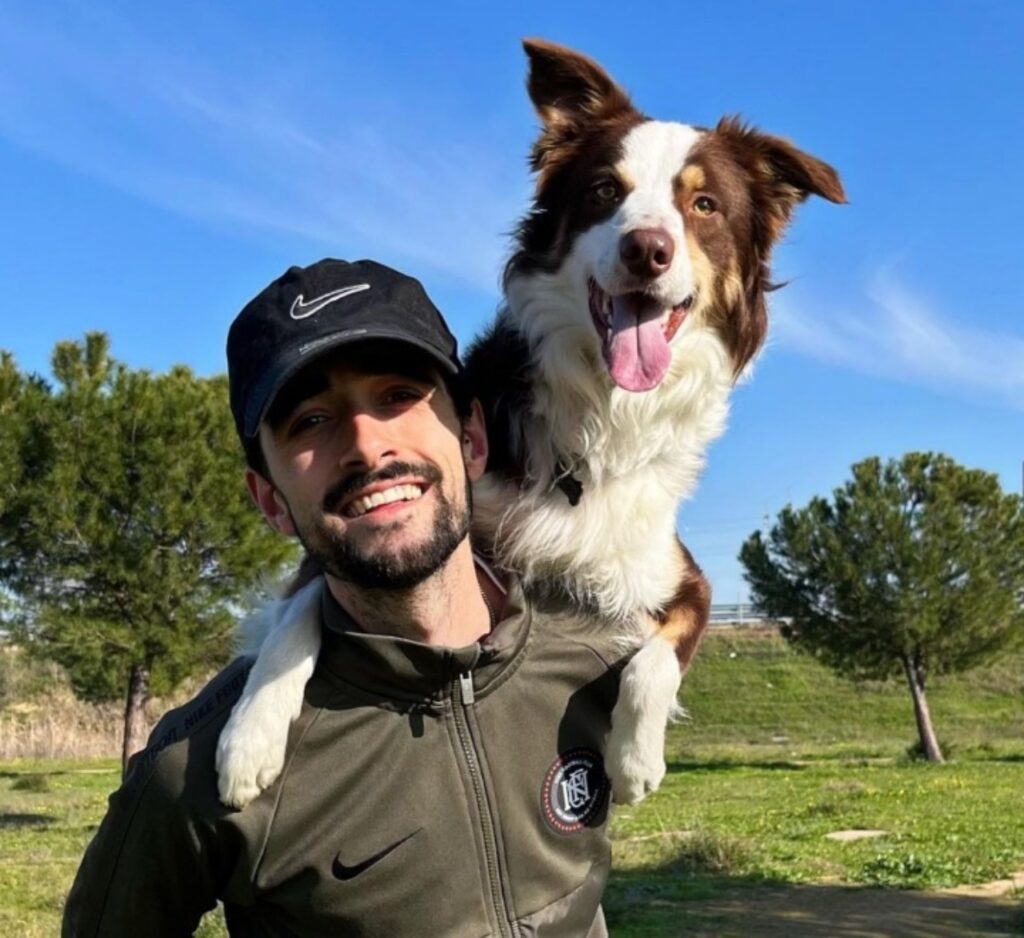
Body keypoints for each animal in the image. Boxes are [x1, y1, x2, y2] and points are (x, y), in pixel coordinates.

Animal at [211, 40, 843, 811]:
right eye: (605, 191)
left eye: (703, 204)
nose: (647, 249)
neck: (605, 409)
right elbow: (300, 610)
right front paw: (249, 740)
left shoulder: (681, 577)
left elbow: (658, 658)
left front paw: (635, 757)